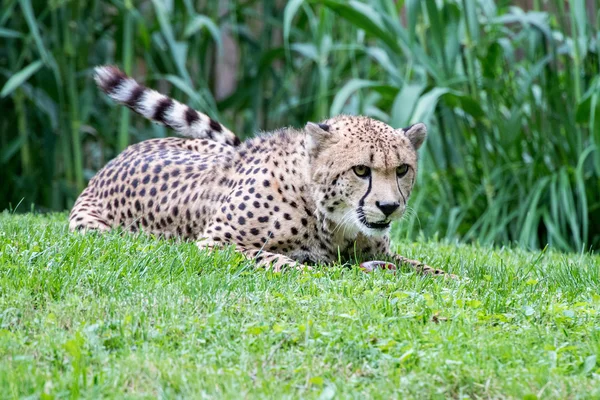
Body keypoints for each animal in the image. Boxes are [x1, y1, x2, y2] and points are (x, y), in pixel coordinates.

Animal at [68, 66, 448, 276]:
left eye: (402, 169)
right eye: (360, 170)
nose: (389, 207)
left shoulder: (382, 252)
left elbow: (425, 267)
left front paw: (452, 279)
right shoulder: (214, 243)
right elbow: (279, 261)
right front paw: (318, 272)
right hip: (94, 230)